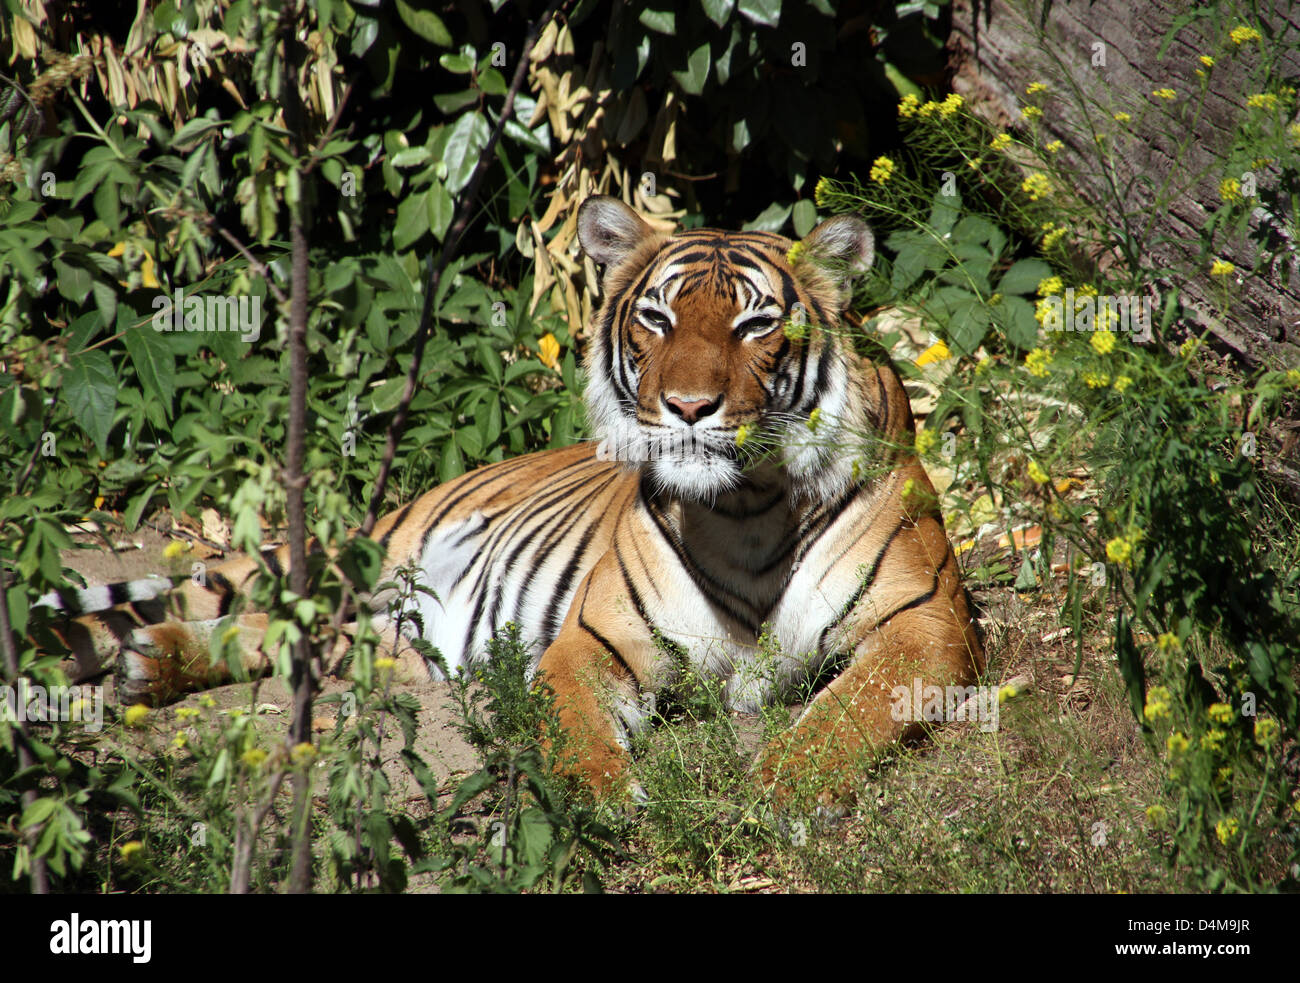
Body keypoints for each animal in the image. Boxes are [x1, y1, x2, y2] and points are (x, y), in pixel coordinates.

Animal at [35, 193, 977, 806]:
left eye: (755, 325)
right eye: (658, 318)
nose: (687, 407)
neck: (743, 507)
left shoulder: (925, 626)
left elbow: (844, 714)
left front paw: (782, 783)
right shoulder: (596, 638)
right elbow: (576, 726)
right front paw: (602, 798)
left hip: (378, 639)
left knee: (281, 639)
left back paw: (147, 660)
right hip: (351, 567)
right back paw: (121, 658)